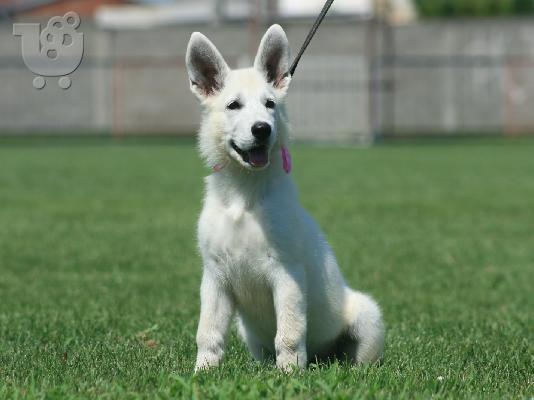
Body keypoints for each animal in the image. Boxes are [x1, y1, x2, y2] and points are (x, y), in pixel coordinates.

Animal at [187, 23, 386, 370]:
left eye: (270, 104)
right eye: (233, 105)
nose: (262, 129)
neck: (245, 196)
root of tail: (323, 356)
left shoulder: (287, 274)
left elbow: (290, 333)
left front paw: (289, 373)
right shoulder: (215, 277)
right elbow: (208, 332)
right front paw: (203, 372)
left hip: (367, 317)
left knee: (357, 357)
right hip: (249, 333)